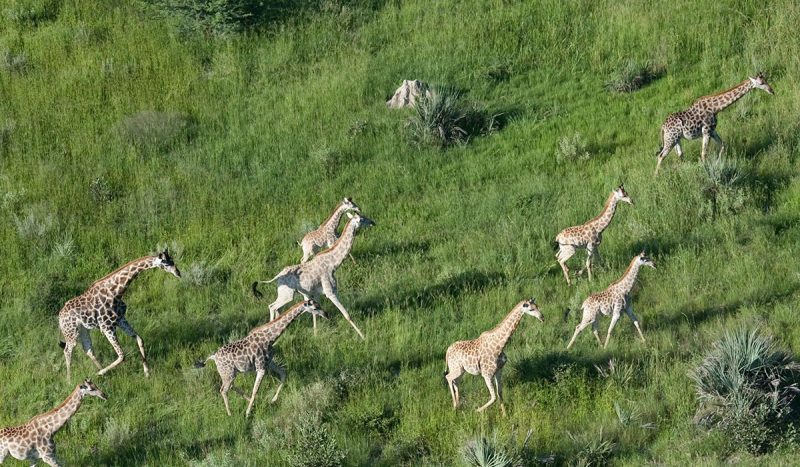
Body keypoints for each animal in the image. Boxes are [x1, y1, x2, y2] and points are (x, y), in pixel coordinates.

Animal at [58, 250, 181, 380]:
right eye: (165, 263)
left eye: (172, 260)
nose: (178, 273)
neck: (116, 292)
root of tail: (59, 317)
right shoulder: (107, 326)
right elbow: (122, 355)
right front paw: (100, 373)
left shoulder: (121, 319)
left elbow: (139, 340)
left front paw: (147, 373)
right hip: (71, 333)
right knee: (67, 350)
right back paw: (70, 380)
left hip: (83, 330)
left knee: (88, 349)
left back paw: (101, 371)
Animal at [195, 300, 327, 417]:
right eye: (315, 307)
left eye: (319, 304)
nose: (326, 314)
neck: (270, 338)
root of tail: (213, 357)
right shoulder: (261, 367)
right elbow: (255, 390)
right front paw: (247, 413)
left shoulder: (269, 363)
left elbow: (283, 374)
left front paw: (273, 399)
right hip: (228, 373)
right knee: (223, 390)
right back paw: (230, 414)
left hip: (231, 373)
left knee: (230, 387)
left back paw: (249, 402)